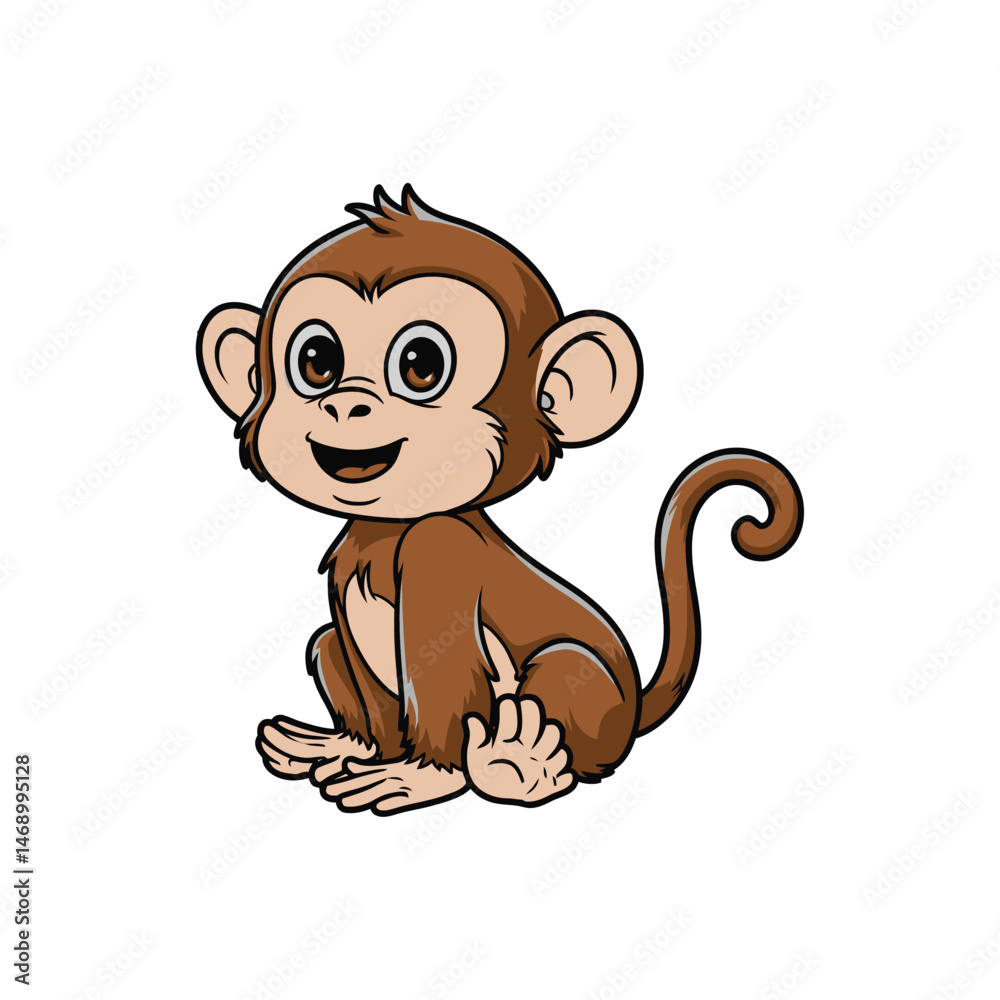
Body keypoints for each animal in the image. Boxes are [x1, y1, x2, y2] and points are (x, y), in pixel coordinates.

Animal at [197, 185, 803, 815]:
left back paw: (518, 765)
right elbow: (370, 689)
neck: (392, 527)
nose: (345, 404)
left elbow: (440, 676)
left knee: (562, 676)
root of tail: (636, 703)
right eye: (316, 360)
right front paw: (361, 752)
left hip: (589, 697)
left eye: (421, 364)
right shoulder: (346, 573)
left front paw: (418, 777)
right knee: (325, 642)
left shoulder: (442, 551)